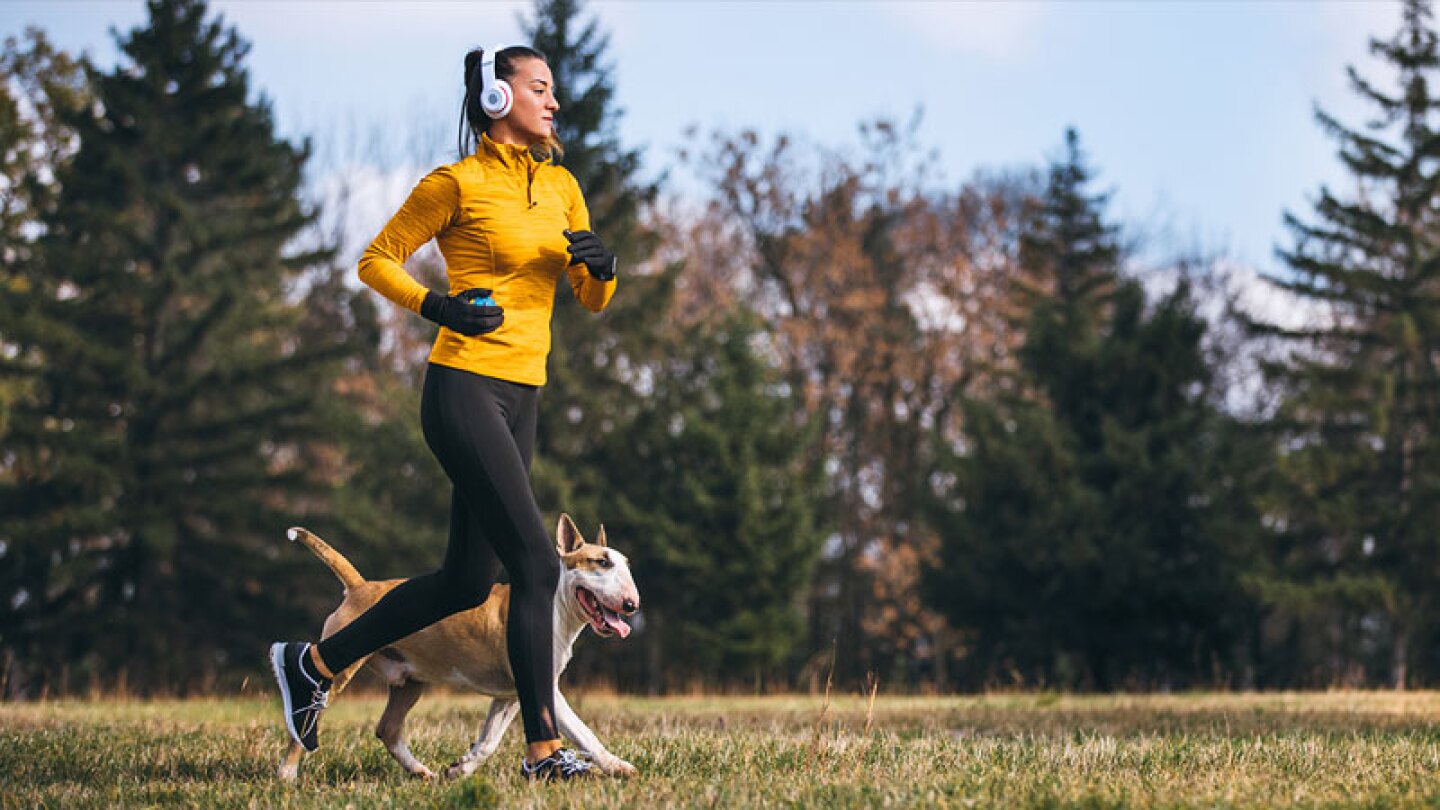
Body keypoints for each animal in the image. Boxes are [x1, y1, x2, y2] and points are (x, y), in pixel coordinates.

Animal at [277, 513, 639, 778]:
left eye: (625, 564)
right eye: (601, 562)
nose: (632, 604)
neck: (556, 605)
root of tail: (359, 587)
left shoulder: (510, 694)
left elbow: (489, 740)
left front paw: (461, 769)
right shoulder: (542, 684)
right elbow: (582, 731)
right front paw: (616, 766)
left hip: (409, 682)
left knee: (388, 729)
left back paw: (421, 772)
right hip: (343, 672)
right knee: (308, 717)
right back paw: (287, 772)